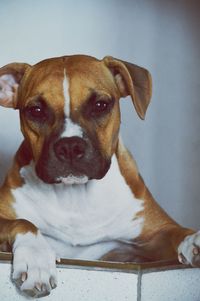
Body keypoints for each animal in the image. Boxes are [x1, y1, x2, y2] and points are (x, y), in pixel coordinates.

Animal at [0, 55, 199, 296]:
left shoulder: (152, 237)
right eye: (36, 110)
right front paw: (35, 257)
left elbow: (177, 232)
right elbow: (22, 222)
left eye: (100, 105)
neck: (75, 197)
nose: (70, 146)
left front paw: (194, 240)